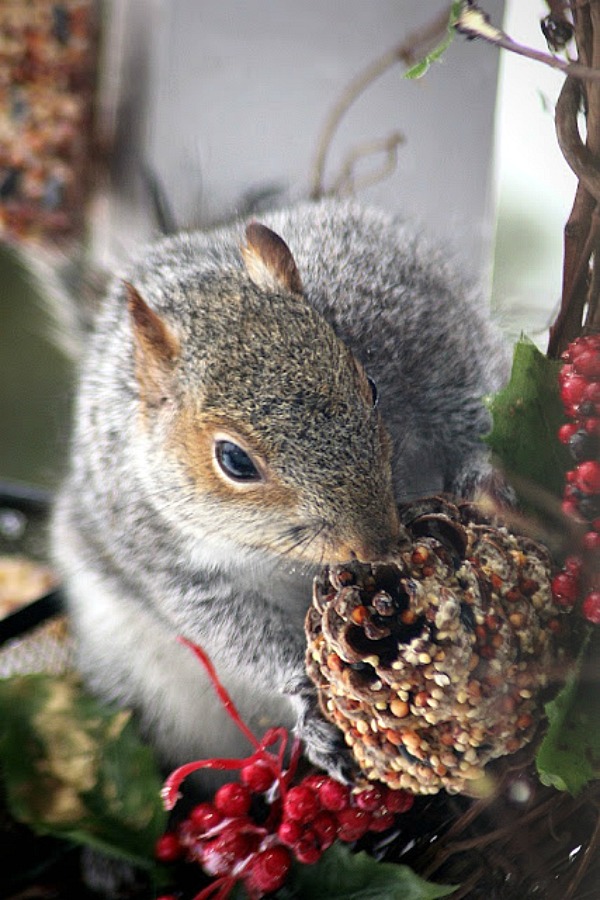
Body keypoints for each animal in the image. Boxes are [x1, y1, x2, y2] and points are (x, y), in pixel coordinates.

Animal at [52, 195, 510, 780]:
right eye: (233, 461)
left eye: (371, 386)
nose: (379, 544)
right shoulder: (168, 558)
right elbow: (232, 630)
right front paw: (307, 700)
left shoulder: (428, 334)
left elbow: (474, 404)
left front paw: (480, 478)